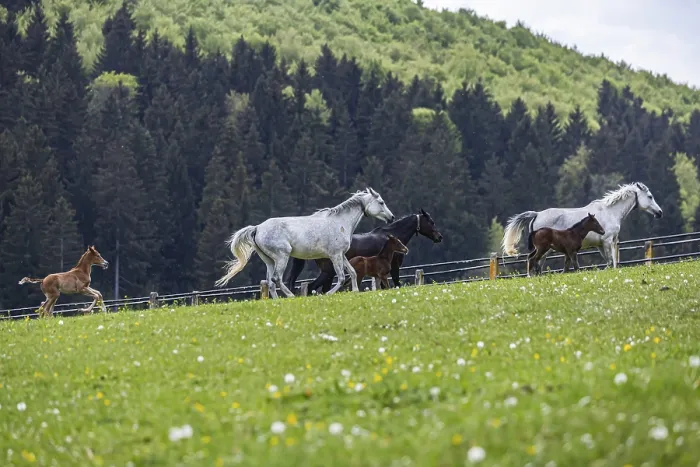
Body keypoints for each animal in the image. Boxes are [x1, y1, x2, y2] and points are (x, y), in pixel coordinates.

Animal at [214, 188, 395, 298]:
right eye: (381, 202)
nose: (391, 217)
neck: (340, 222)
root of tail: (257, 228)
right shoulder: (335, 255)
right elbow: (342, 277)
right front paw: (329, 294)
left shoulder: (341, 255)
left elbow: (352, 272)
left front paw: (355, 292)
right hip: (282, 257)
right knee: (277, 279)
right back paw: (291, 296)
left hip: (269, 261)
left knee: (270, 282)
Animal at [284, 209, 443, 295]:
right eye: (431, 222)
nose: (439, 237)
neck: (390, 237)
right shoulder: (394, 268)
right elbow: (395, 284)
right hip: (328, 272)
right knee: (312, 287)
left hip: (329, 274)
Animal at [502, 182, 663, 271]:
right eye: (650, 196)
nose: (660, 212)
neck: (610, 212)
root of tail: (536, 214)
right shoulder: (607, 241)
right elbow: (610, 262)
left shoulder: (604, 244)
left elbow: (612, 262)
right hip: (545, 249)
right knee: (535, 263)